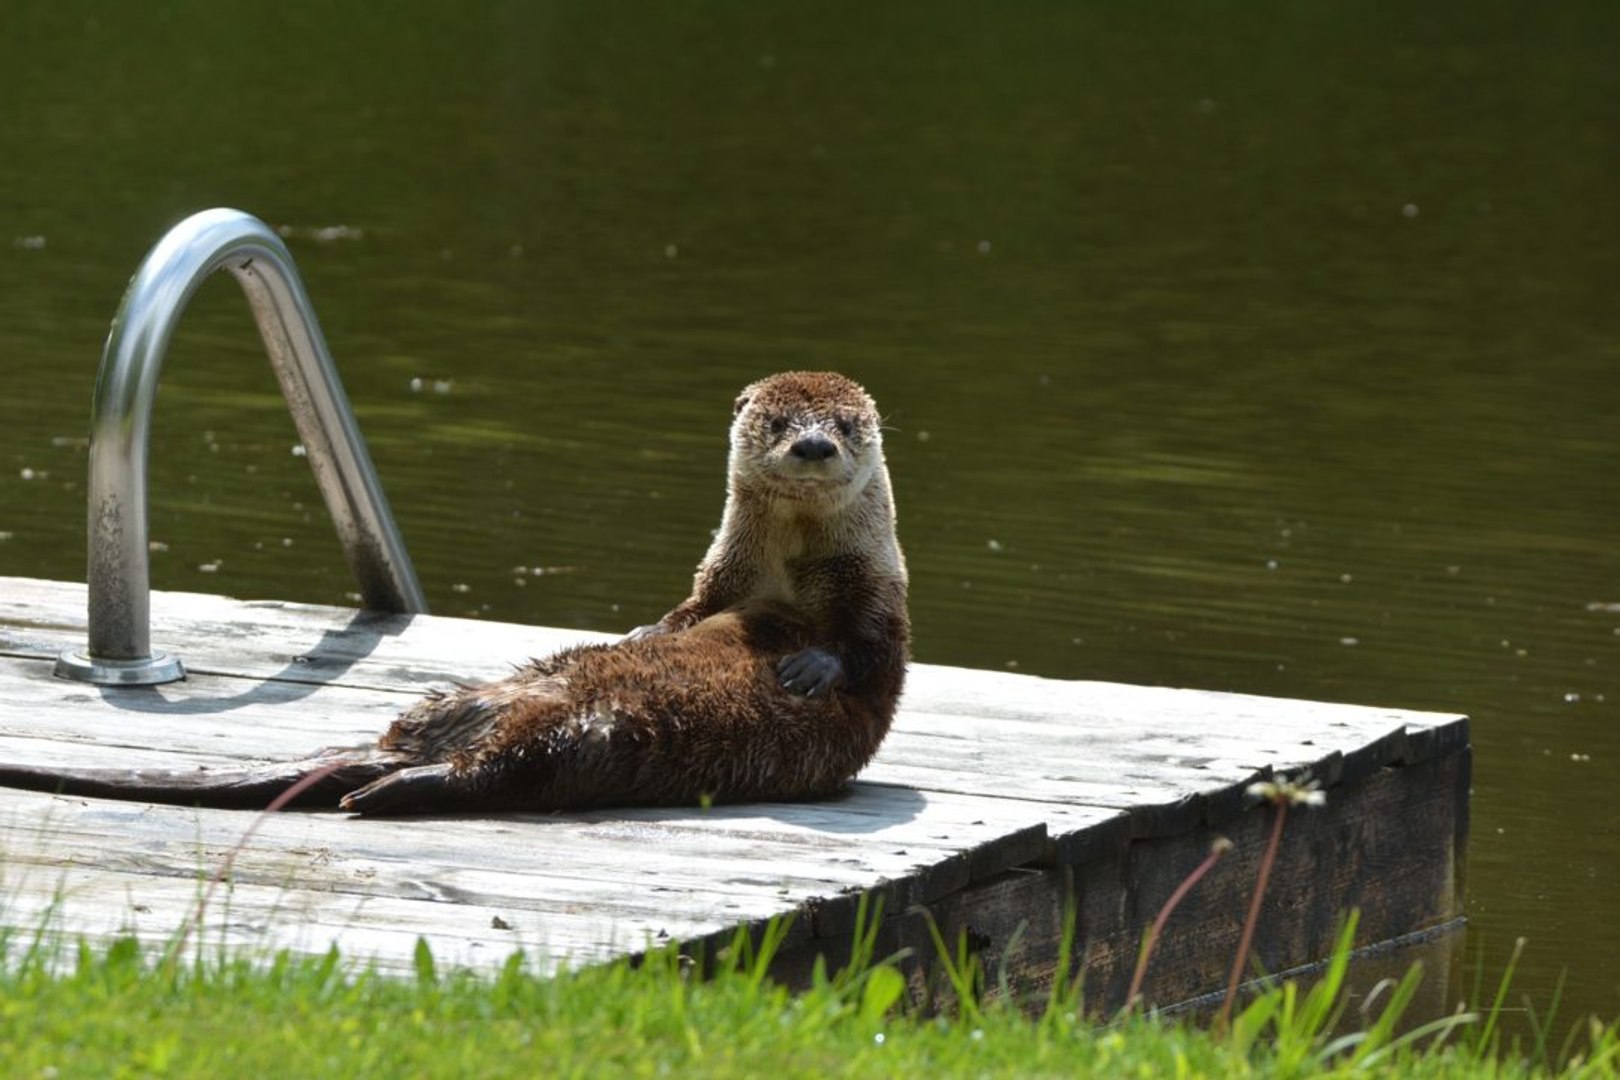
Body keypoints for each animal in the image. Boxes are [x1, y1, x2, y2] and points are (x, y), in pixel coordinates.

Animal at [0, 371, 909, 816]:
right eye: (779, 422)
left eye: (847, 425)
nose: (816, 445)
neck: (787, 569)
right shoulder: (720, 575)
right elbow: (686, 613)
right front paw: (644, 632)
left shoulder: (878, 592)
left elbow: (872, 651)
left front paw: (810, 669)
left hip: (590, 737)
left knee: (495, 773)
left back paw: (383, 792)